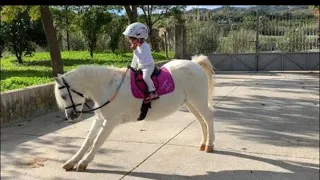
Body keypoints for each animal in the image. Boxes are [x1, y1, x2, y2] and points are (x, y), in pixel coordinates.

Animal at [54, 54, 215, 172]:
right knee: (201, 120)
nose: (70, 116)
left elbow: (97, 142)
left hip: (198, 100)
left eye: (63, 96)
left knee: (208, 117)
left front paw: (83, 163)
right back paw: (203, 143)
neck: (107, 88)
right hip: (190, 103)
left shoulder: (110, 122)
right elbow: (87, 141)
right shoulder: (99, 119)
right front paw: (71, 162)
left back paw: (209, 144)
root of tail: (195, 64)